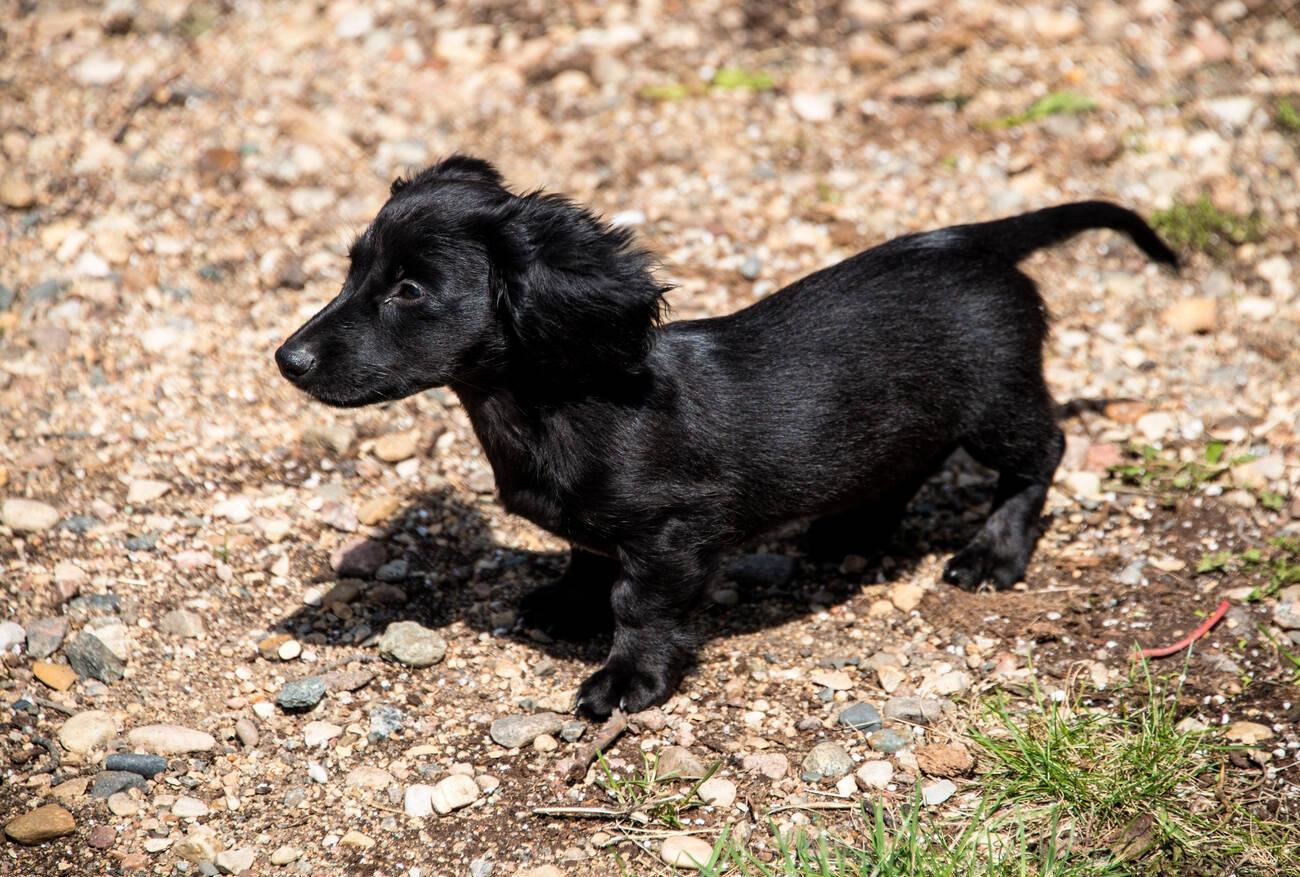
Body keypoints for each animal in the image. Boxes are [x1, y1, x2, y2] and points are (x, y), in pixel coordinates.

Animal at [276, 155, 1180, 722]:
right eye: (353, 269)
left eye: (409, 289)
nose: (287, 358)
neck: (556, 405)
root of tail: (975, 238)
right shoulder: (604, 528)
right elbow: (585, 557)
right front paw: (563, 605)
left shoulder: (673, 532)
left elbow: (638, 605)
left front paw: (627, 680)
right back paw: (850, 530)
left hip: (995, 405)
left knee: (1040, 456)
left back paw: (994, 552)